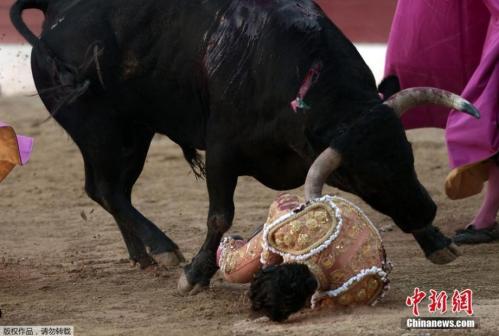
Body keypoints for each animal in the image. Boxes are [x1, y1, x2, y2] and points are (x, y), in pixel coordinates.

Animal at [9, 0, 474, 294]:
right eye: (362, 178)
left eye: (408, 156)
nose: (426, 212)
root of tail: (58, 12)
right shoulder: (222, 151)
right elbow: (219, 215)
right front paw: (194, 276)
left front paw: (437, 242)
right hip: (101, 130)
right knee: (107, 190)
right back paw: (163, 250)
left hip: (131, 135)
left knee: (108, 189)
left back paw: (142, 255)